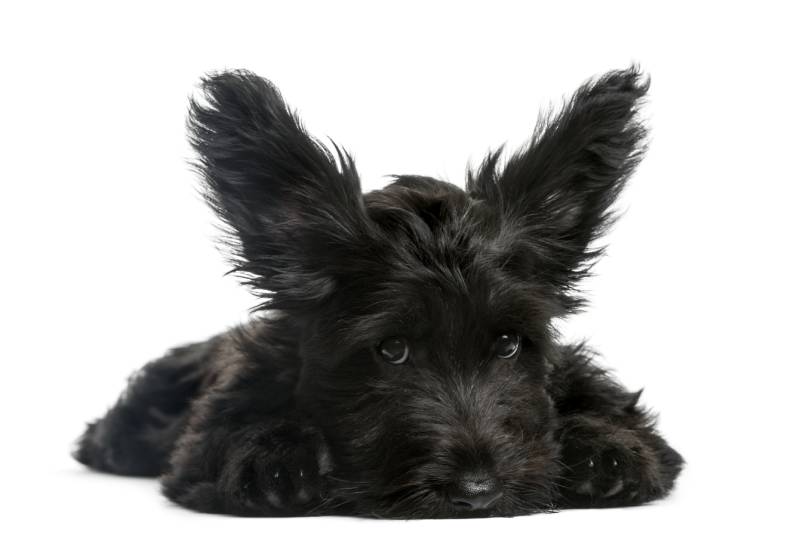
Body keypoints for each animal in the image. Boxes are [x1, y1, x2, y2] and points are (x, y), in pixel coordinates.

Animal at [75, 67, 684, 520]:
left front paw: (607, 451)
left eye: (509, 344)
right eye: (392, 350)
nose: (477, 493)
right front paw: (275, 459)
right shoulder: (209, 432)